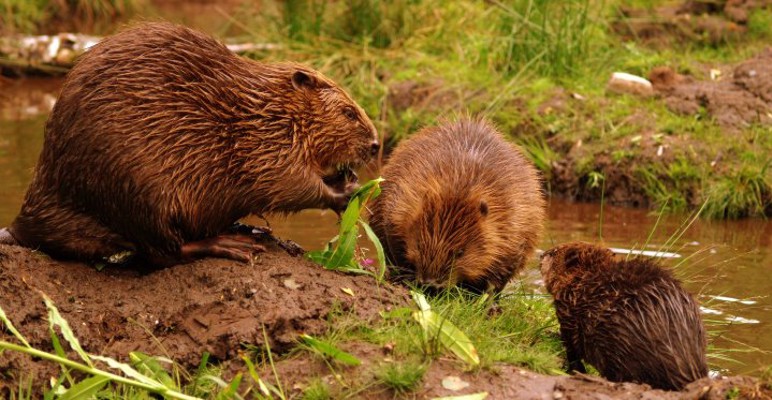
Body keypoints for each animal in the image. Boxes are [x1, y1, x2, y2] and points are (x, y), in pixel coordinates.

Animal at [0, 21, 380, 266]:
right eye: (349, 112)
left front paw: (347, 178)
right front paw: (347, 192)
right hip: (137, 189)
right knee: (162, 252)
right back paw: (232, 243)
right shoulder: (265, 145)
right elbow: (286, 184)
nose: (377, 144)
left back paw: (246, 228)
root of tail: (22, 223)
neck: (267, 109)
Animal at [368, 117, 544, 292]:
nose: (431, 284)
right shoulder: (402, 203)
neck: (461, 185)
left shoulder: (514, 225)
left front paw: (484, 296)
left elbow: (504, 266)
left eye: (460, 253)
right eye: (418, 244)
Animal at [540, 241, 708, 390]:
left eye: (553, 252)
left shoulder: (567, 315)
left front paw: (574, 370)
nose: (541, 255)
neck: (584, 279)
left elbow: (571, 349)